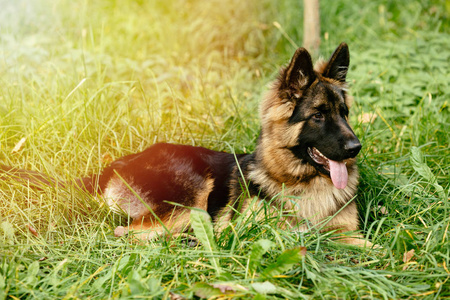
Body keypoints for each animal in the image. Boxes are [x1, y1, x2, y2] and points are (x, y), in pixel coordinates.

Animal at [0, 44, 370, 246]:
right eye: (318, 115)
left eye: (344, 113)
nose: (355, 148)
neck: (303, 181)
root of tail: (116, 165)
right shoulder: (254, 229)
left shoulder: (345, 229)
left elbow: (359, 242)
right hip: (191, 197)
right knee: (126, 233)